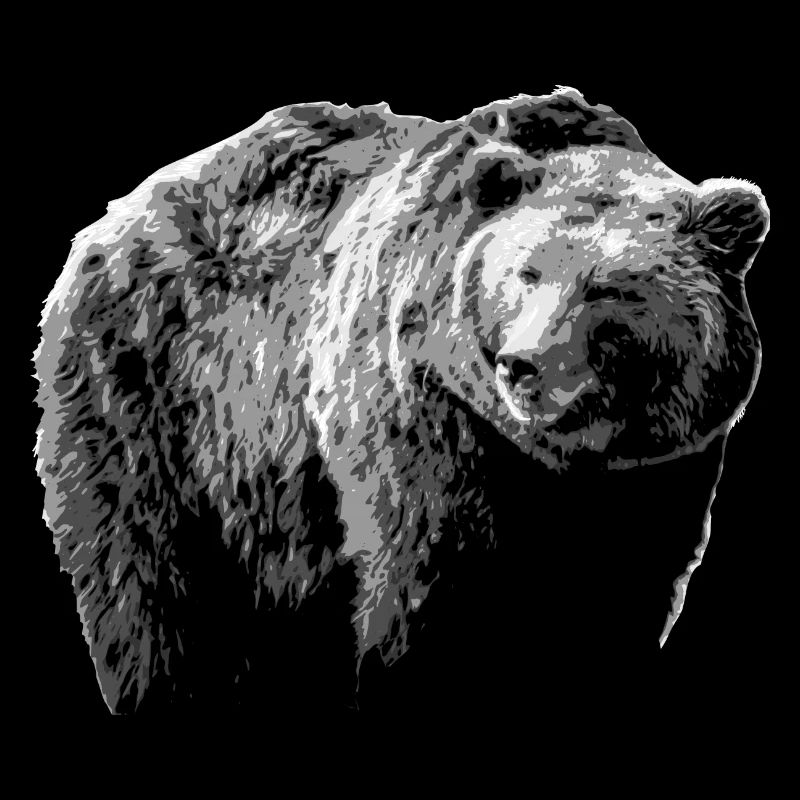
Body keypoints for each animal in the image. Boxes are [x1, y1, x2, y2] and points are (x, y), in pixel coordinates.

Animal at [34, 87, 769, 714]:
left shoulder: (659, 475)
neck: (563, 465)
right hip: (153, 403)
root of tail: (106, 222)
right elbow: (426, 588)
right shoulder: (426, 422)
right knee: (149, 587)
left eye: (609, 288)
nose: (523, 365)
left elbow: (624, 599)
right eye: (525, 273)